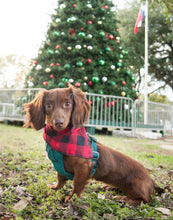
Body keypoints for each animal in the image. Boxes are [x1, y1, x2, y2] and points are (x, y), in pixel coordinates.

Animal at [23, 84, 160, 205]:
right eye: (48, 105)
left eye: (67, 103)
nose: (58, 123)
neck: (61, 138)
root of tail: (151, 180)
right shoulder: (60, 167)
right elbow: (60, 180)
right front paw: (53, 189)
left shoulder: (83, 166)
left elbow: (77, 185)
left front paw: (70, 199)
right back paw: (109, 187)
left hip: (134, 185)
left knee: (145, 199)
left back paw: (124, 199)